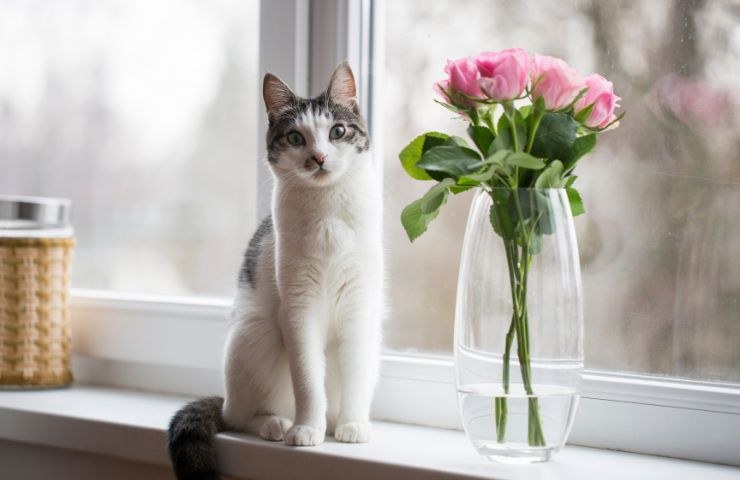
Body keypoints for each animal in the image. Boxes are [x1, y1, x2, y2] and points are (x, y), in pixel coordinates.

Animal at [166, 61, 382, 480]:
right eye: (296, 137)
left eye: (338, 131)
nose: (318, 157)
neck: (326, 208)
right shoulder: (297, 305)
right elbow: (308, 379)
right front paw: (306, 429)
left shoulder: (359, 302)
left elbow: (355, 372)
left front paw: (353, 424)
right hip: (257, 333)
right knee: (238, 417)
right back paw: (276, 424)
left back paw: (334, 422)